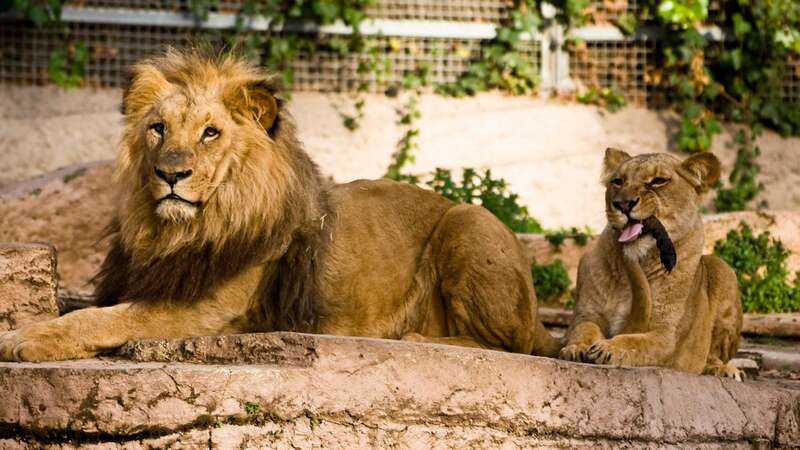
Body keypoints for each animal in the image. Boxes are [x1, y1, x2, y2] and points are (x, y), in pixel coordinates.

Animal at [0, 49, 560, 360]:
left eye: (210, 133)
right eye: (158, 129)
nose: (170, 174)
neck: (180, 230)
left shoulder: (206, 308)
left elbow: (105, 319)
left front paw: (26, 338)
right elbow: (92, 309)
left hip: (469, 219)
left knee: (512, 345)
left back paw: (417, 340)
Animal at [560, 149, 740, 378]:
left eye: (658, 181)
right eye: (618, 181)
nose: (623, 204)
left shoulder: (666, 337)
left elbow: (634, 342)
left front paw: (608, 348)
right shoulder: (586, 315)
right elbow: (583, 329)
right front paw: (576, 348)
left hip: (722, 268)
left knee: (713, 355)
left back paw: (723, 369)